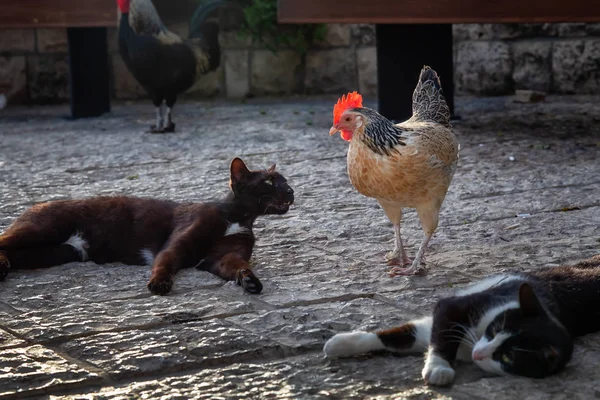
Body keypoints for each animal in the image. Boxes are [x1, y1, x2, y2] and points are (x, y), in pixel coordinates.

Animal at [0, 158, 292, 296]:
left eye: (285, 180)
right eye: (269, 182)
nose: (291, 190)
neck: (237, 218)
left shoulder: (223, 257)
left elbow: (237, 266)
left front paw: (249, 280)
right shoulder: (177, 245)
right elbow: (165, 262)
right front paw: (159, 283)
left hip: (56, 252)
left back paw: (3, 267)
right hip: (43, 231)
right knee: (3, 240)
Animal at [324, 255, 600, 386]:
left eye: (508, 357)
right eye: (495, 329)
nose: (479, 353)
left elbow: (417, 336)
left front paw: (437, 367)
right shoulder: (456, 307)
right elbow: (419, 332)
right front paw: (341, 343)